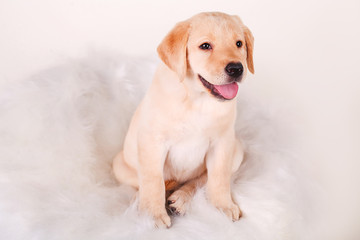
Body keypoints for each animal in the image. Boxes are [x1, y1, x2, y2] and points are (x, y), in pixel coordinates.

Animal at [112, 12, 253, 228]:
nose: (236, 69)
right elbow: (153, 180)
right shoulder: (152, 142)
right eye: (205, 46)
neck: (197, 99)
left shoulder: (223, 142)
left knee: (200, 180)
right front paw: (152, 214)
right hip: (120, 164)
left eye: (239, 44)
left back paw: (181, 198)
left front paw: (222, 206)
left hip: (236, 150)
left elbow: (219, 177)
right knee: (148, 183)